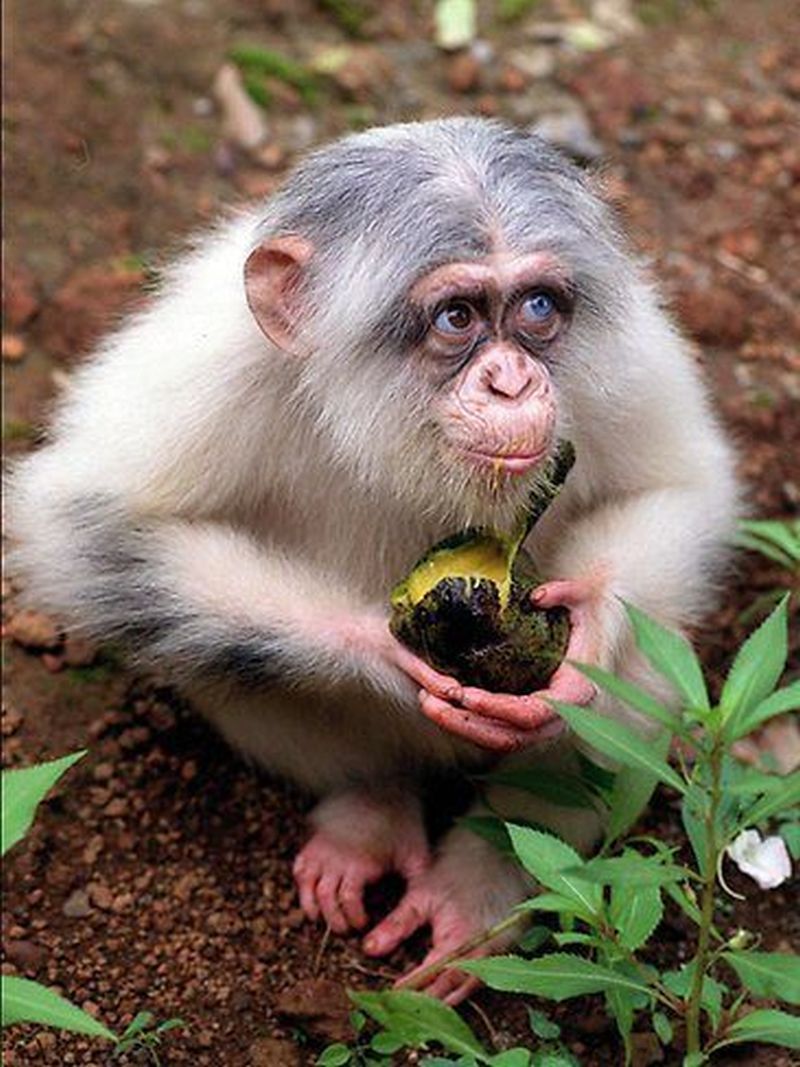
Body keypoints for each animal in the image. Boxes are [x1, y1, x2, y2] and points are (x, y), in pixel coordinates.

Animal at [8, 118, 738, 1005]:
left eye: (537, 307)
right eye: (457, 316)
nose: (512, 380)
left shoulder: (629, 349)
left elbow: (685, 486)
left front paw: (587, 633)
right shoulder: (203, 366)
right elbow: (86, 521)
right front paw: (384, 652)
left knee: (645, 663)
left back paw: (484, 881)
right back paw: (369, 810)